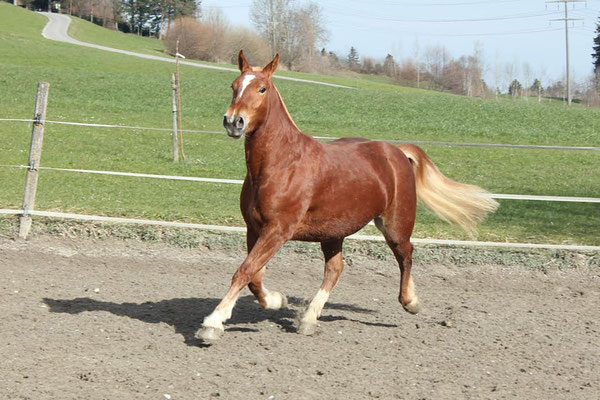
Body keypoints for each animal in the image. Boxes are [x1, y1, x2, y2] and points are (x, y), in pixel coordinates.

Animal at [196, 50, 496, 342]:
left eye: (262, 88)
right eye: (234, 86)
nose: (234, 122)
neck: (281, 164)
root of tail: (397, 152)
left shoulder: (278, 230)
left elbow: (245, 271)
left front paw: (212, 323)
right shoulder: (254, 228)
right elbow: (254, 277)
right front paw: (277, 300)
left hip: (394, 226)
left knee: (406, 254)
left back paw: (410, 302)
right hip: (332, 233)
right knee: (335, 269)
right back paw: (308, 319)